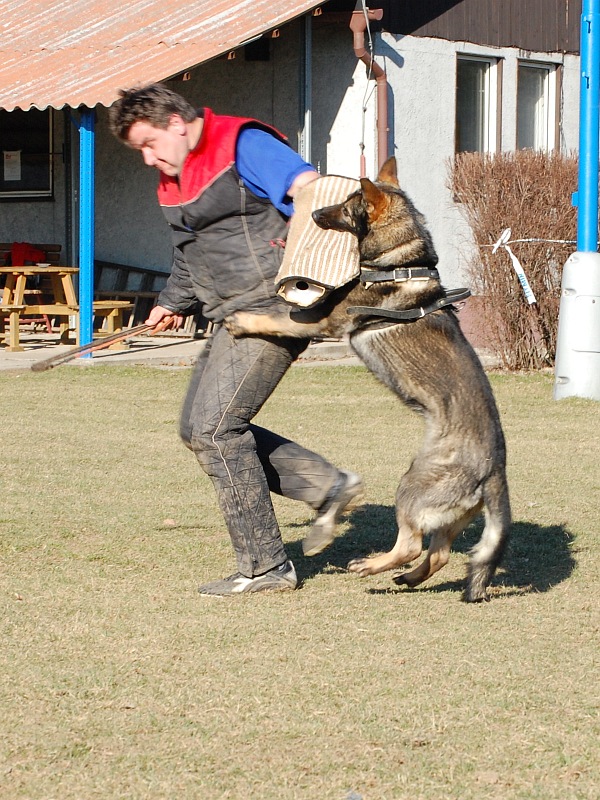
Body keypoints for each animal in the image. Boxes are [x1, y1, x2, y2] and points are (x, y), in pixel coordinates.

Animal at [226, 156, 510, 600]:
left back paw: (371, 565)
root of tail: (494, 469)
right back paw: (405, 577)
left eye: (347, 207)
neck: (401, 261)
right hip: (449, 516)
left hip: (411, 485)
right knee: (438, 555)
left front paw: (242, 321)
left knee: (411, 545)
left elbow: (280, 316)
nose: (312, 214)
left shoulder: (320, 320)